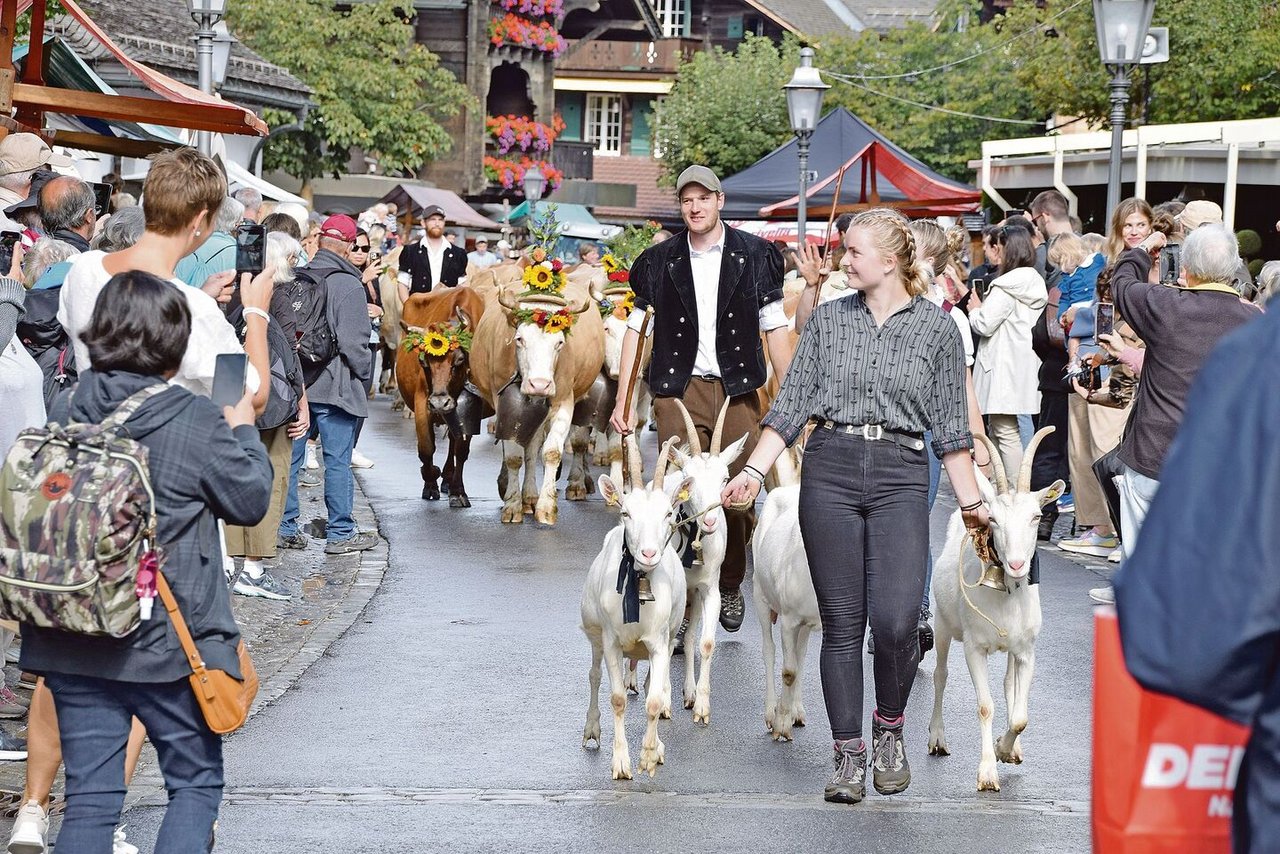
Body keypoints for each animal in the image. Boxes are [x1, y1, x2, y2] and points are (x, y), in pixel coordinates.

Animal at [394, 290, 483, 507]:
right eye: (423, 362)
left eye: (460, 360)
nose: (439, 403)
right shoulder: (421, 401)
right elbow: (426, 447)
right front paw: (431, 479)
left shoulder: (471, 407)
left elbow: (461, 449)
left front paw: (458, 491)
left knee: (453, 441)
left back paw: (449, 479)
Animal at [583, 440, 691, 783]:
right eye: (625, 512)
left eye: (669, 513)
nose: (648, 553)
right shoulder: (611, 642)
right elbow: (617, 698)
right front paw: (620, 763)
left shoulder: (658, 642)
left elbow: (654, 701)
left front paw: (649, 756)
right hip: (595, 636)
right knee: (594, 676)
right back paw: (592, 730)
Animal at [665, 399, 747, 722]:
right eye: (690, 481)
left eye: (725, 478)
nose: (710, 521)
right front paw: (664, 700)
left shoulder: (709, 589)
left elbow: (705, 642)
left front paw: (701, 705)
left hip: (695, 595)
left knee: (688, 639)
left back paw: (688, 693)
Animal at [747, 486, 819, 742]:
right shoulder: (788, 620)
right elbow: (789, 671)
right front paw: (781, 725)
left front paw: (789, 715)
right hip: (759, 593)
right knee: (769, 650)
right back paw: (771, 712)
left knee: (801, 654)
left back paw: (796, 712)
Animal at [926, 430, 1064, 793]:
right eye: (995, 520)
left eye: (1036, 516)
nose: (1015, 564)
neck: (1009, 595)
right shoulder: (975, 648)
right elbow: (985, 706)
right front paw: (987, 772)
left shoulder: (1026, 651)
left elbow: (1020, 715)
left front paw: (1007, 749)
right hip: (943, 626)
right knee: (940, 675)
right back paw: (937, 738)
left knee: (1008, 685)